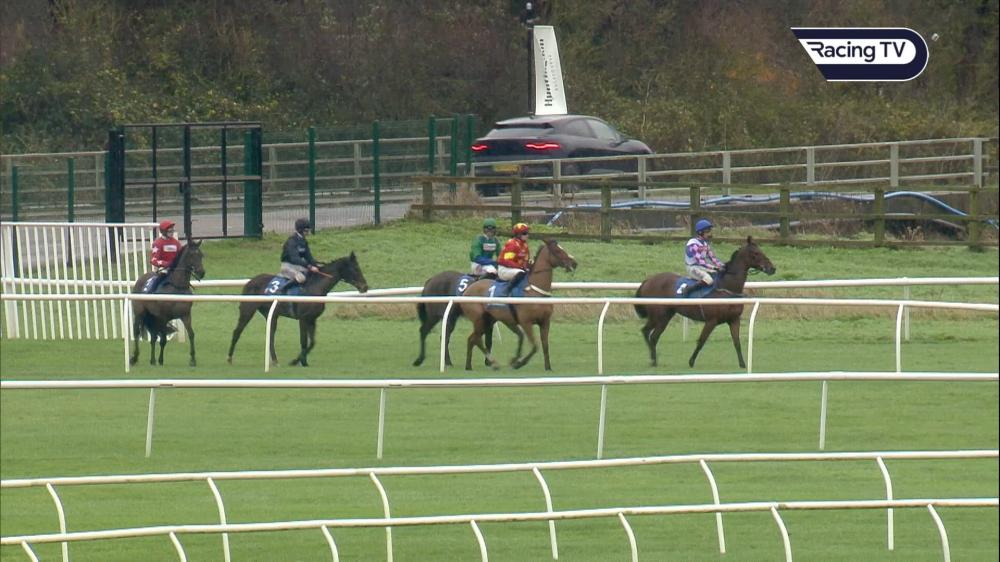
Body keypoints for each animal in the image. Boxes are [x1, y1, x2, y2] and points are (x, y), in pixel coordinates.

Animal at [227, 252, 369, 367]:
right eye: (355, 269)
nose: (365, 287)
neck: (315, 287)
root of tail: (250, 281)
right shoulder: (303, 318)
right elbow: (303, 341)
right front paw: (299, 362)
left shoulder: (312, 319)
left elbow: (312, 342)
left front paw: (300, 361)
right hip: (247, 311)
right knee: (237, 332)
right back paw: (229, 358)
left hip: (271, 314)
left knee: (271, 336)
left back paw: (275, 360)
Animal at [461, 239, 578, 371]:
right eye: (558, 250)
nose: (574, 263)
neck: (534, 290)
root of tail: (468, 288)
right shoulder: (526, 322)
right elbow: (535, 346)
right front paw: (518, 363)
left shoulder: (545, 322)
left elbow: (545, 345)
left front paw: (548, 367)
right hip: (479, 319)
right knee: (475, 339)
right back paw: (493, 363)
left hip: (489, 320)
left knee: (472, 339)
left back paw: (469, 365)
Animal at [634, 236, 776, 369]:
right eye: (756, 253)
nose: (772, 268)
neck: (727, 287)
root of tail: (647, 281)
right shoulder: (711, 320)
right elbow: (701, 341)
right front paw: (691, 361)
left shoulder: (734, 319)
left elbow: (737, 342)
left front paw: (742, 364)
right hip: (658, 315)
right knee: (649, 333)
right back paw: (653, 360)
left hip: (665, 316)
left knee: (651, 335)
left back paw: (654, 359)